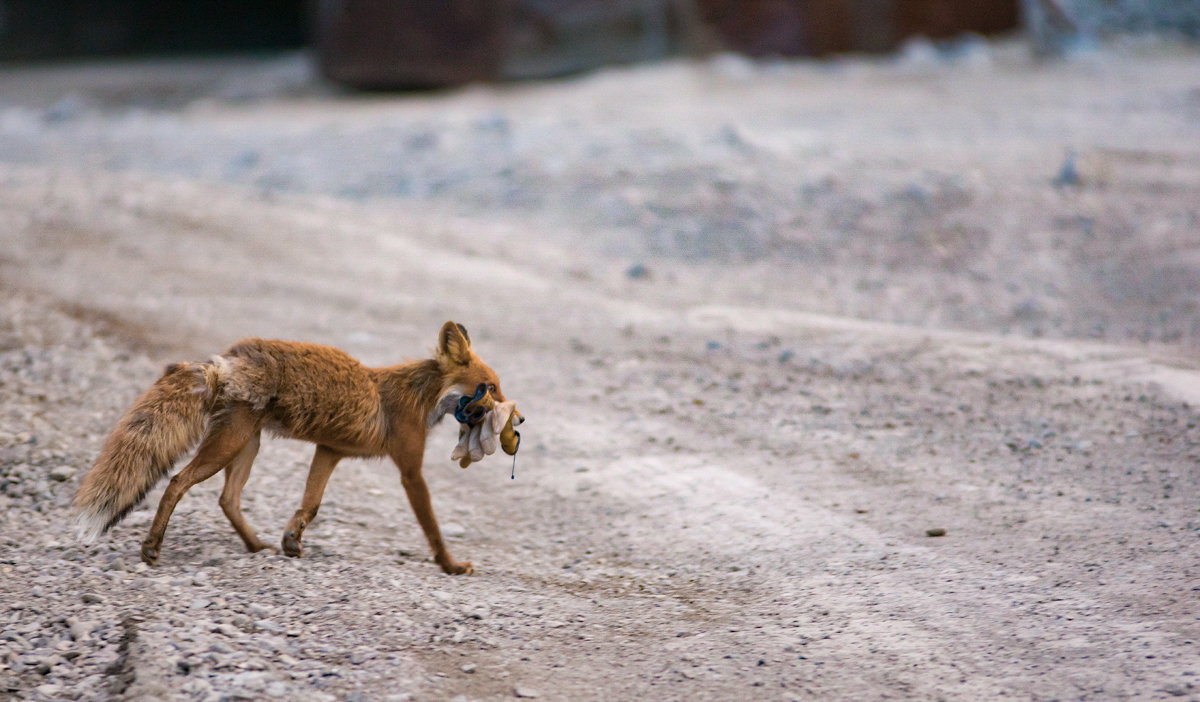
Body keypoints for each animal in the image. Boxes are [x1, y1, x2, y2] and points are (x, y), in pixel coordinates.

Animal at [71, 324, 520, 576]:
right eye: (491, 388)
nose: (519, 420)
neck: (419, 397)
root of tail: (228, 358)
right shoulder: (411, 471)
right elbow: (433, 528)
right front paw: (450, 566)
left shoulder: (329, 450)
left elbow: (311, 505)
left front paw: (292, 541)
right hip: (228, 446)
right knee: (178, 482)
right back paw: (152, 547)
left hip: (245, 446)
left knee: (227, 499)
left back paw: (256, 547)